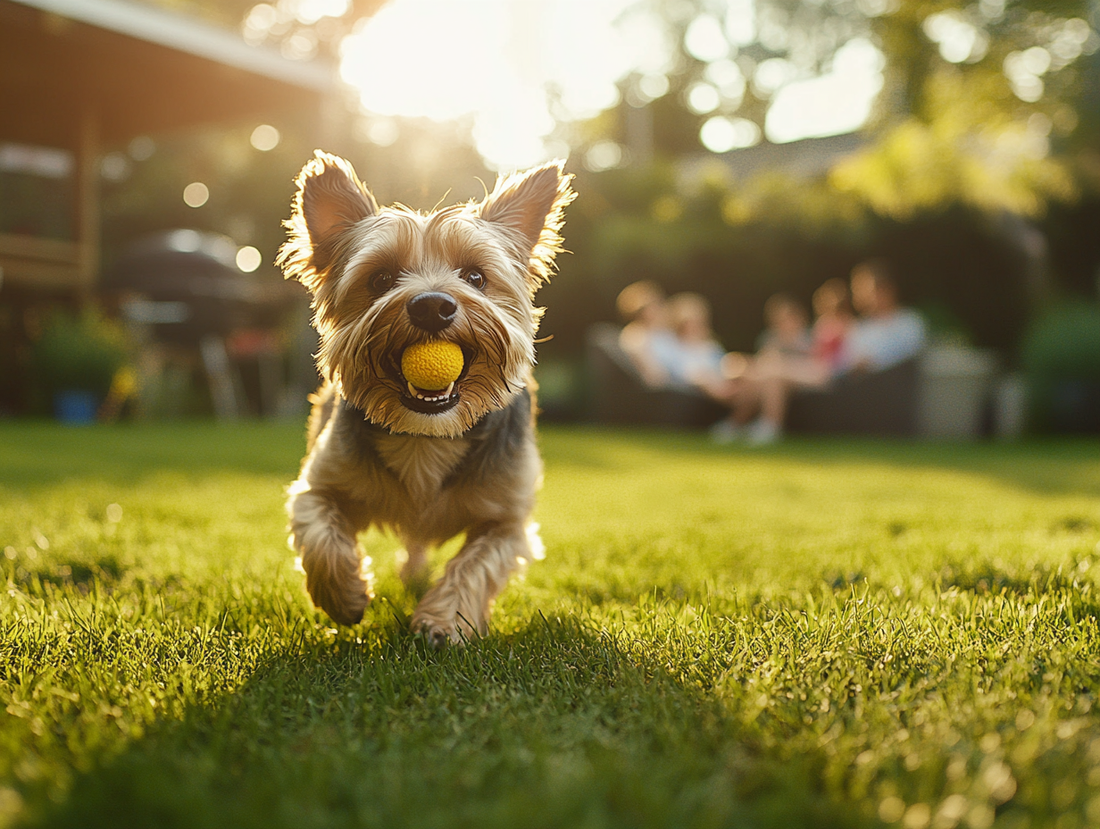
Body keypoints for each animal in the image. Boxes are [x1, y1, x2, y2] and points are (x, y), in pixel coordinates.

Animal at [277, 148, 576, 642]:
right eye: (380, 279)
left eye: (475, 276)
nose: (432, 305)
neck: (427, 435)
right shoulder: (317, 484)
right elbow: (319, 529)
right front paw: (345, 594)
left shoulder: (509, 520)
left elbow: (476, 563)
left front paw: (442, 621)